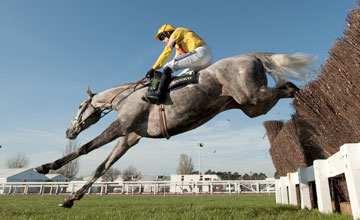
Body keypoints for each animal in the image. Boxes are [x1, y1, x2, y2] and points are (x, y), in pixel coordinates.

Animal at [34, 52, 316, 207]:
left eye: (79, 106)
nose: (69, 131)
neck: (126, 97)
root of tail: (253, 56)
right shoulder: (129, 137)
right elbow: (102, 167)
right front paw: (71, 198)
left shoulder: (121, 126)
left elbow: (85, 148)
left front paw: (46, 166)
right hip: (252, 105)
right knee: (287, 88)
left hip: (254, 97)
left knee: (290, 87)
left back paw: (311, 103)